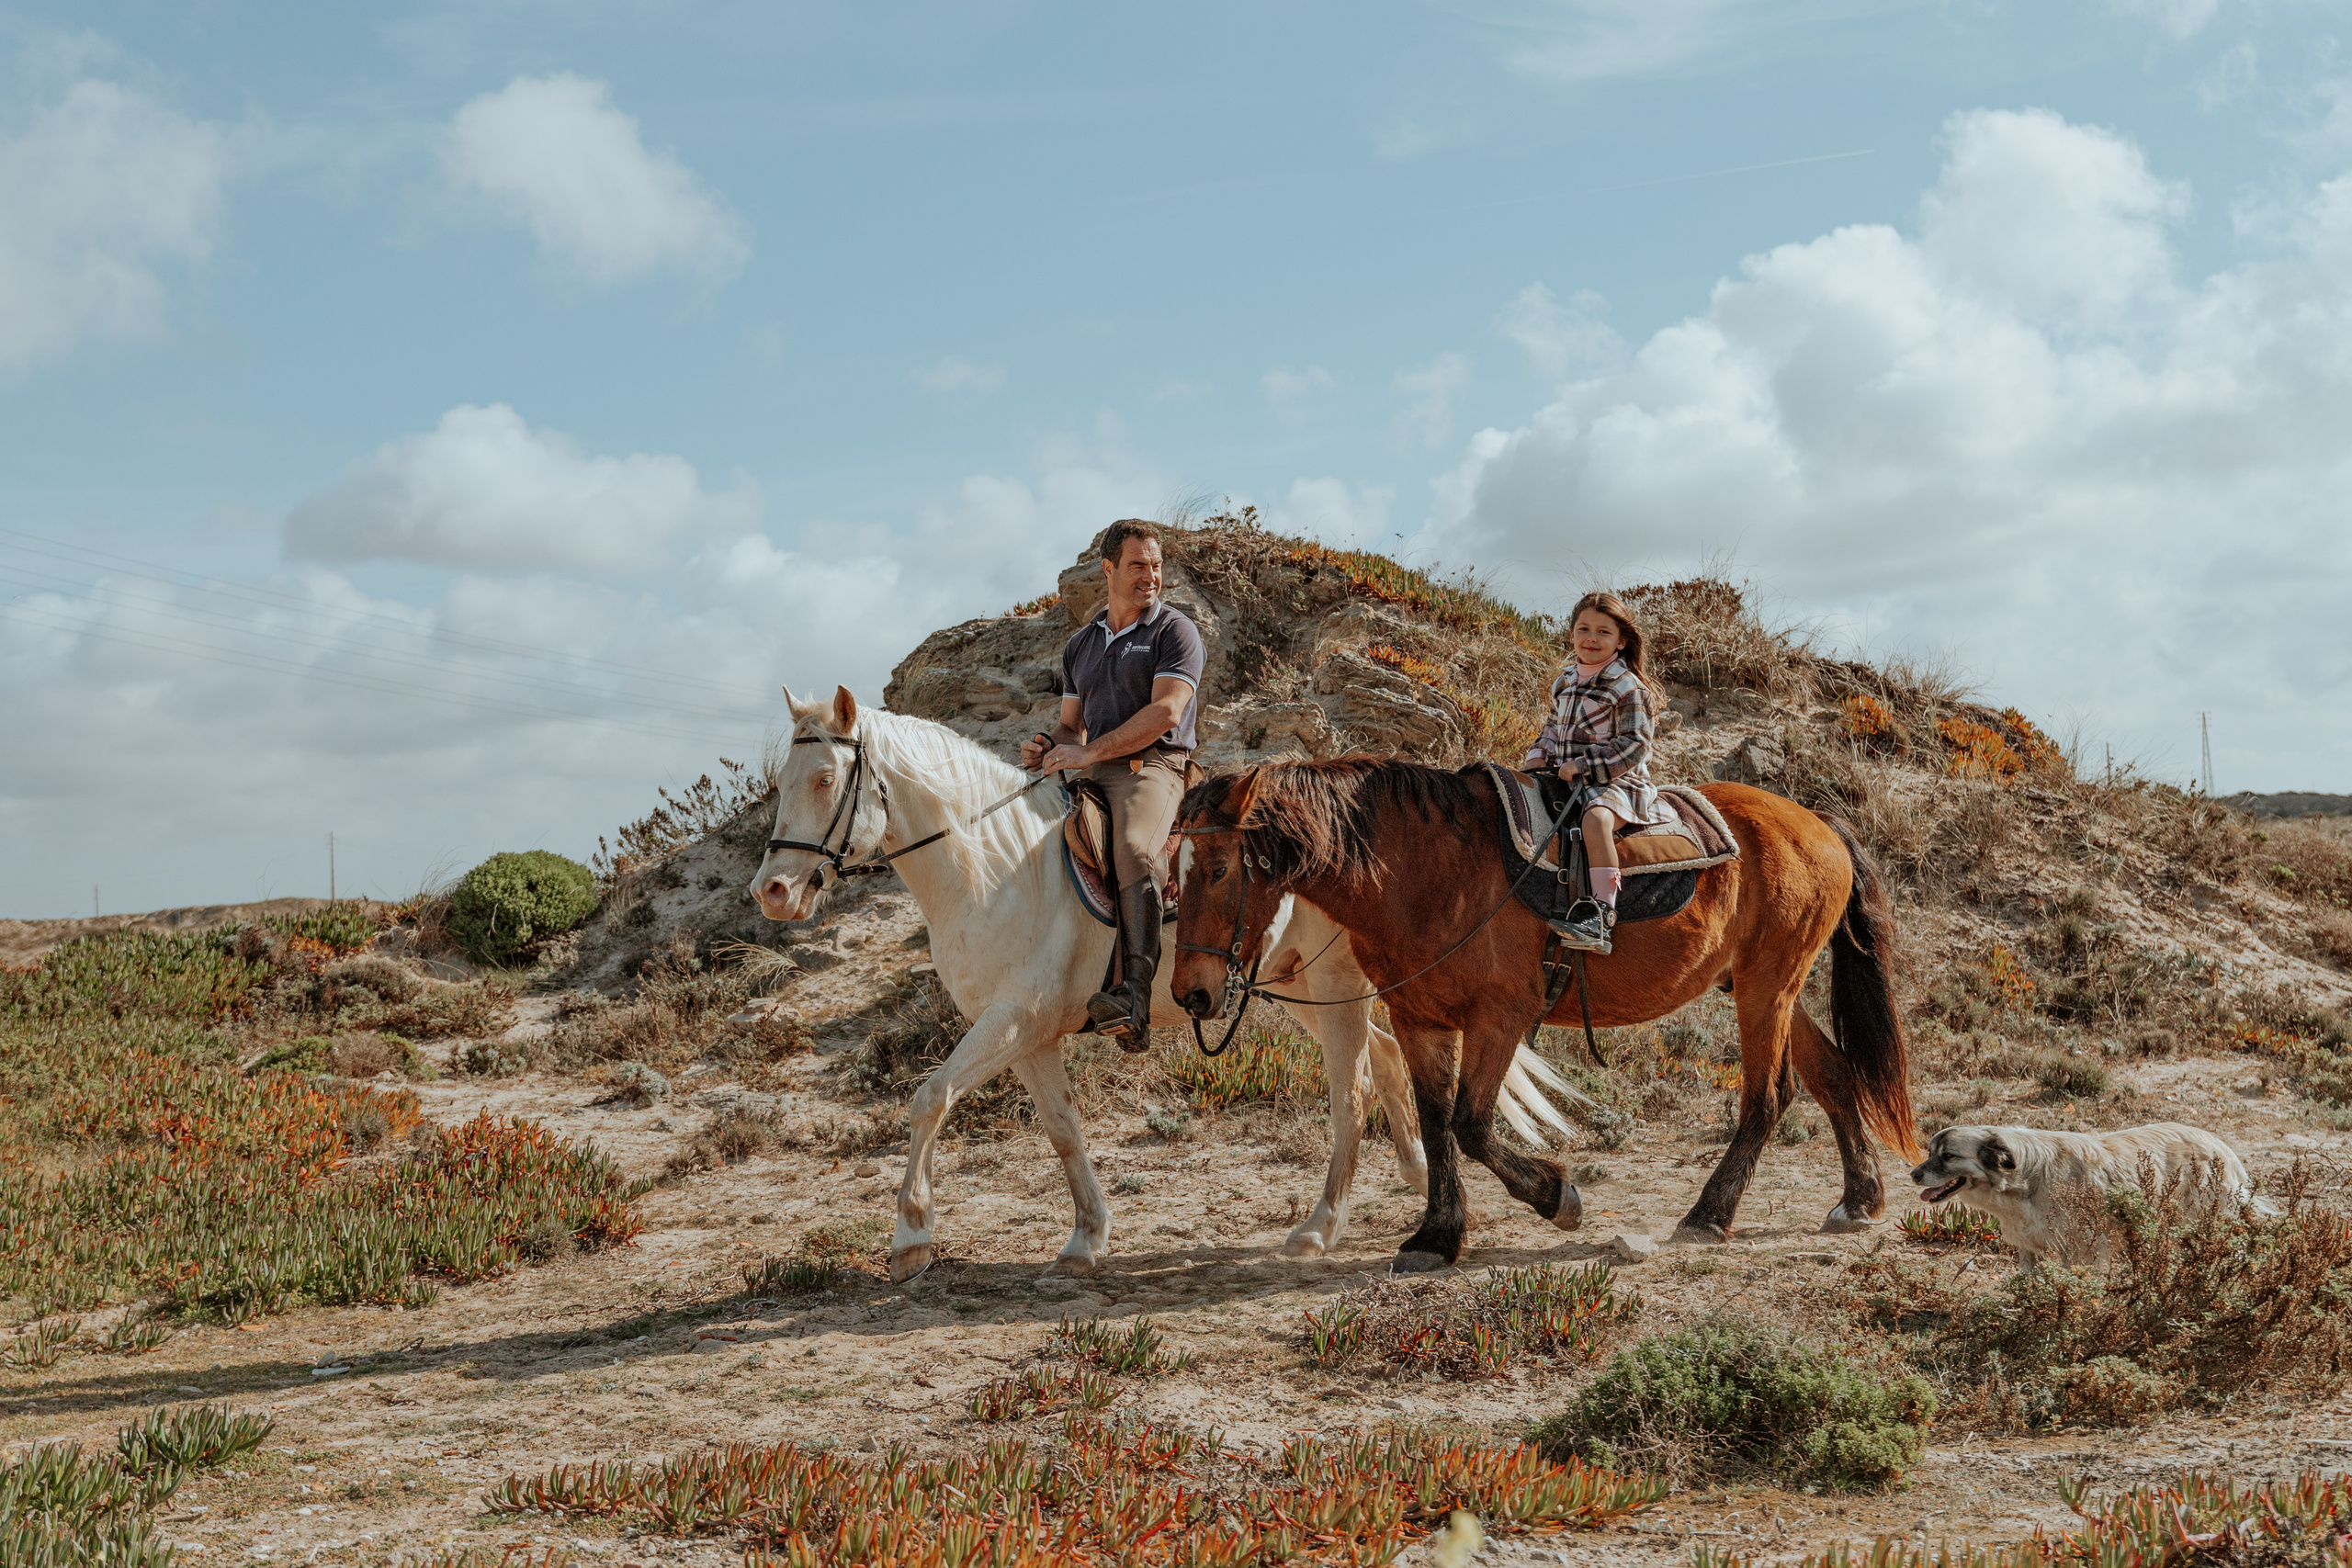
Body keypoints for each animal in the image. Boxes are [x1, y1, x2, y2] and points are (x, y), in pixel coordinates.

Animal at [747, 686, 1589, 1284]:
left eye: (825, 778)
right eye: (779, 781)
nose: (774, 892)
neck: (994, 865)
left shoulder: (1012, 1020)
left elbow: (930, 1097)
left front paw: (912, 1235)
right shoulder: (1028, 1034)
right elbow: (1062, 1130)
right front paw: (1086, 1237)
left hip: (1331, 985)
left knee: (1351, 1092)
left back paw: (1321, 1225)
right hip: (1302, 991)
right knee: (1385, 1057)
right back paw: (1414, 1176)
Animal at [1170, 759, 1921, 1272]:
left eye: (1217, 867)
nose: (1191, 993)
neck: (1425, 872)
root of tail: (1819, 823)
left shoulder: (1500, 1015)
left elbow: (1472, 1125)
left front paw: (1557, 1196)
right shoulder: (1420, 1019)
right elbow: (1437, 1124)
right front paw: (1438, 1234)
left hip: (1767, 987)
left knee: (1767, 1097)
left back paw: (1710, 1213)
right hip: (1763, 985)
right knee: (1834, 1074)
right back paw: (1860, 1198)